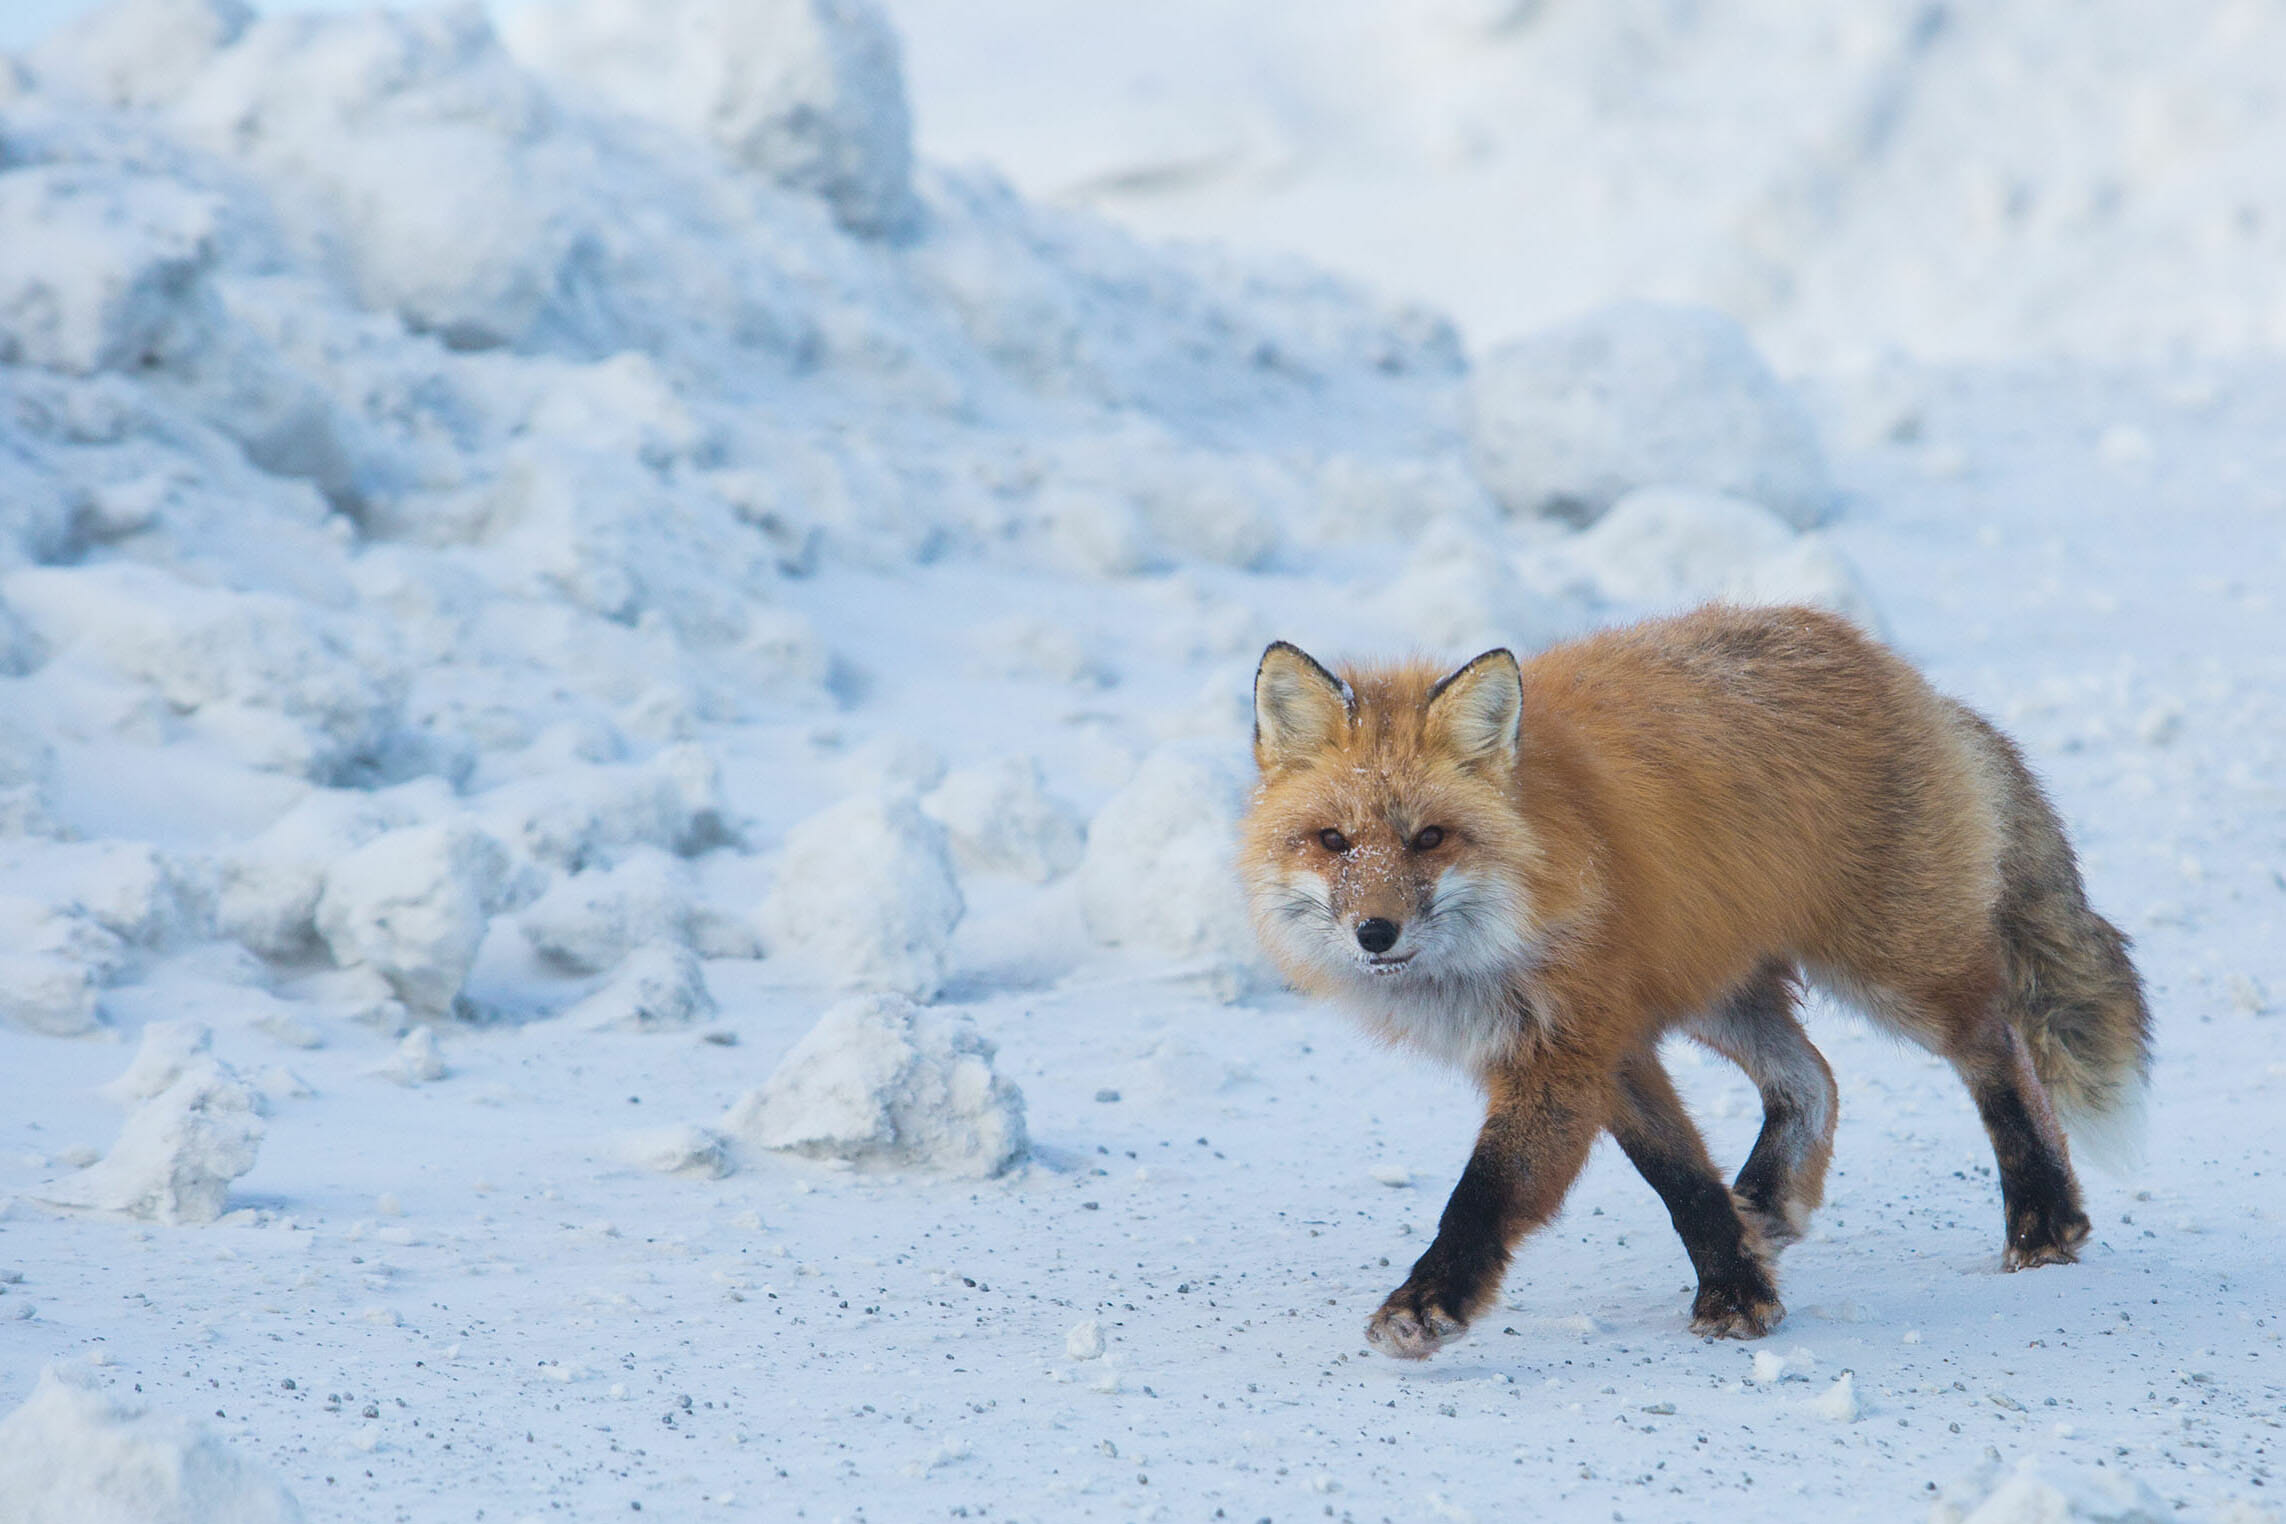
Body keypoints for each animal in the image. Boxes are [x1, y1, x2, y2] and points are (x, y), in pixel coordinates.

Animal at [1243, 603, 2148, 1361]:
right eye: (1332, 840)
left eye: (1430, 838)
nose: (1375, 933)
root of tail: (1901, 674)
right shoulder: (1608, 1045)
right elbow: (1680, 1174)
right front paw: (1740, 1289)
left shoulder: (1565, 1051)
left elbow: (1485, 1194)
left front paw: (1427, 1304)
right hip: (1719, 988)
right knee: (1814, 1077)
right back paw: (1771, 1203)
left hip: (1895, 975)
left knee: (2000, 1051)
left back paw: (2044, 1218)